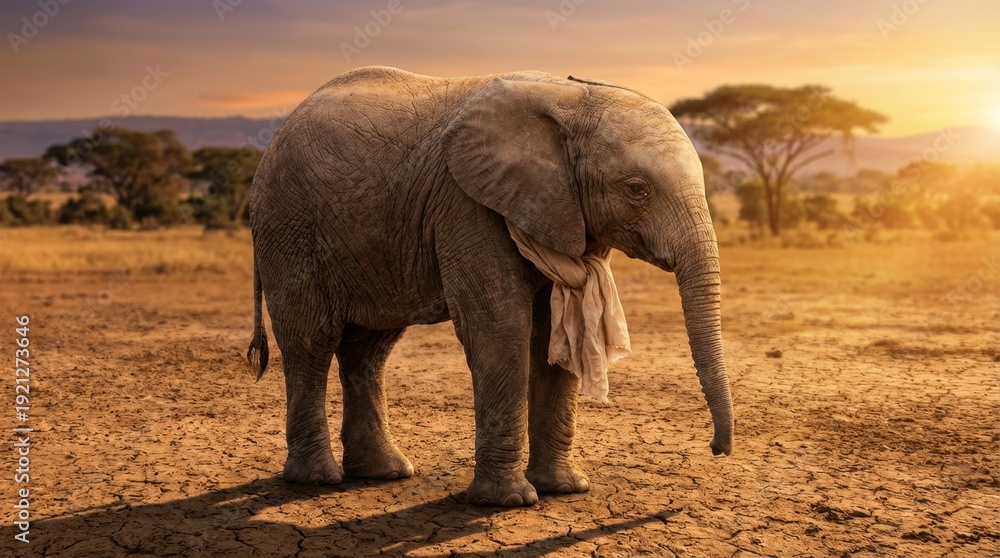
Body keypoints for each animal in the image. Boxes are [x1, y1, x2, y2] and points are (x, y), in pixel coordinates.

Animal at [246, 66, 734, 507]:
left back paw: (384, 473)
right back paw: (317, 480)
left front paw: (564, 489)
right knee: (311, 339)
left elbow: (552, 335)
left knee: (369, 348)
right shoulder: (466, 204)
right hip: (289, 225)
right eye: (637, 189)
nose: (716, 449)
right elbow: (500, 328)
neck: (573, 99)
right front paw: (508, 501)